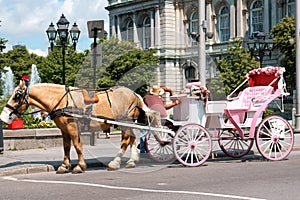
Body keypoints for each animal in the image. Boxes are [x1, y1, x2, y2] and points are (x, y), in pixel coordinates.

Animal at [0, 79, 155, 173]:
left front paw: (80, 166)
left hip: (125, 122)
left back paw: (115, 163)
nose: (4, 115)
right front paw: (64, 166)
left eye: (17, 96)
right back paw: (132, 161)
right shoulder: (64, 129)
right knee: (132, 139)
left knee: (125, 140)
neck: (61, 100)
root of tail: (134, 94)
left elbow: (77, 145)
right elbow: (66, 147)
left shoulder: (73, 128)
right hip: (128, 122)